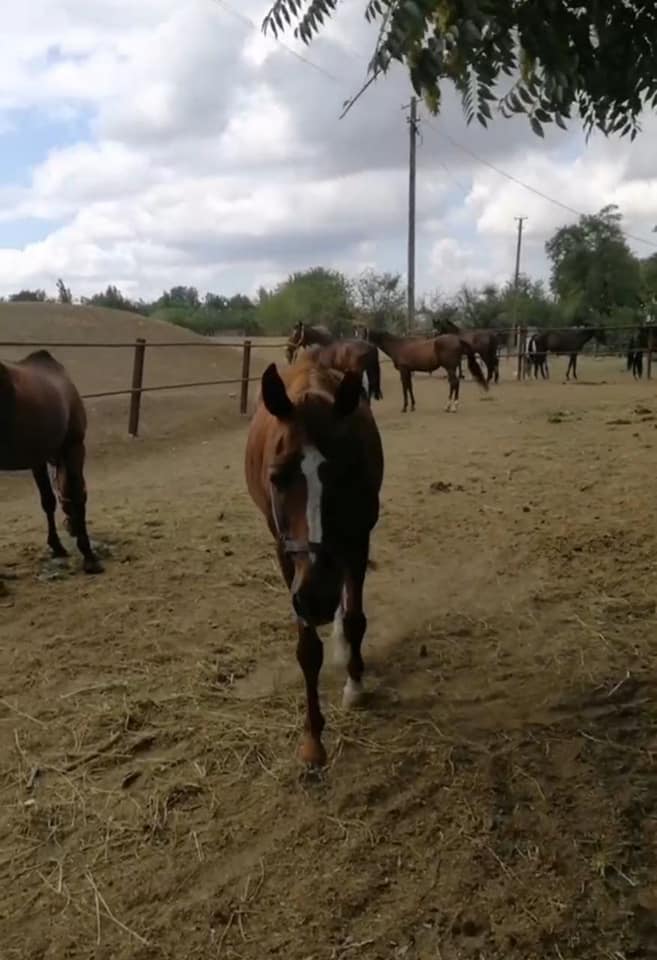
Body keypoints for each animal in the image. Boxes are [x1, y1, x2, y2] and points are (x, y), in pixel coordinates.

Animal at [0, 352, 102, 576]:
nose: (70, 527)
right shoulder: (74, 447)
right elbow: (77, 496)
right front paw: (89, 557)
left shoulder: (38, 459)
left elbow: (47, 501)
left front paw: (56, 546)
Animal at [243, 356, 382, 768]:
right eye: (277, 477)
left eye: (346, 473)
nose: (317, 598)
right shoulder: (286, 554)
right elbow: (307, 650)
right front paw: (312, 739)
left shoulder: (358, 540)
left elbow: (355, 619)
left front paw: (355, 683)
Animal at [354, 326, 486, 412]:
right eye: (356, 334)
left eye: (364, 336)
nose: (358, 348)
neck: (398, 345)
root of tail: (457, 339)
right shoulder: (408, 371)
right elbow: (409, 387)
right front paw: (412, 406)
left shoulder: (403, 370)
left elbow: (405, 388)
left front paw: (404, 407)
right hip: (451, 368)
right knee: (455, 383)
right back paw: (452, 406)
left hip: (450, 368)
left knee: (454, 383)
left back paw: (451, 406)